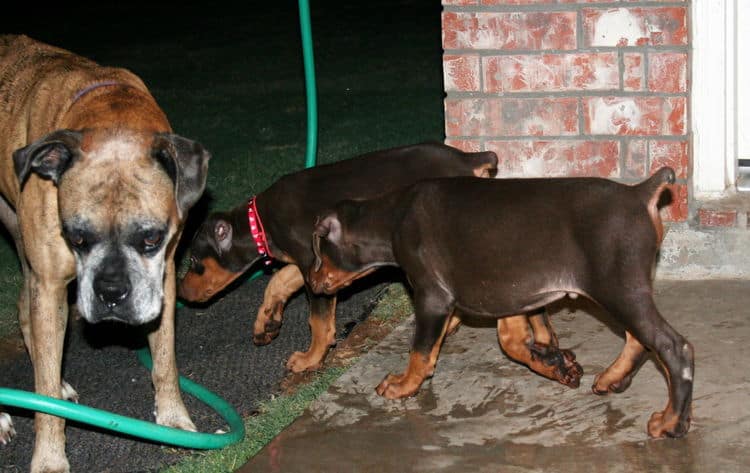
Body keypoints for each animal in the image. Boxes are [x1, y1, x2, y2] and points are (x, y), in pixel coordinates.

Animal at [0, 35, 210, 470]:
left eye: (151, 238)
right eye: (76, 238)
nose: (111, 294)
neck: (110, 109)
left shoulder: (163, 275)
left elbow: (165, 359)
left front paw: (173, 418)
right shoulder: (51, 285)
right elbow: (44, 395)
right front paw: (49, 457)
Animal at [176, 139, 580, 384]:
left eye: (194, 261)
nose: (180, 294)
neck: (261, 221)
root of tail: (468, 158)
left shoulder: (313, 263)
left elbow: (318, 322)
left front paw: (310, 359)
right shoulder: (312, 264)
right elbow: (278, 282)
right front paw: (266, 324)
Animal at [308, 167, 696, 438]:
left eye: (318, 249)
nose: (310, 283)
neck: (393, 217)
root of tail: (640, 192)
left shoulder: (433, 296)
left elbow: (421, 350)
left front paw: (403, 385)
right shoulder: (508, 296)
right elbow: (515, 341)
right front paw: (557, 364)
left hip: (617, 288)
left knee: (674, 347)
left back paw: (671, 423)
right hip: (624, 290)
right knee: (639, 339)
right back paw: (614, 379)